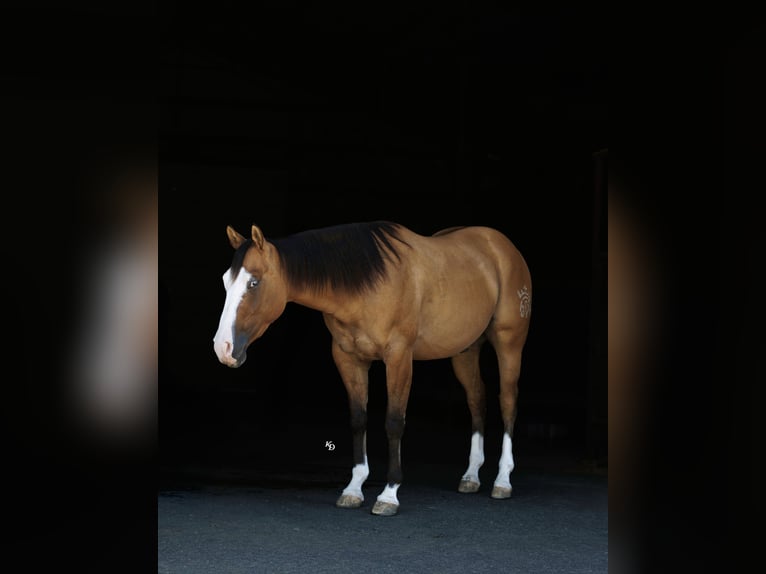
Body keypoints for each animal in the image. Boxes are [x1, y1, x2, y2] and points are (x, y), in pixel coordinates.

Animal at [213, 221, 532, 516]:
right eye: (227, 281)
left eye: (254, 283)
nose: (223, 348)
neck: (367, 285)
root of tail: (501, 245)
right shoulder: (348, 359)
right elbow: (358, 419)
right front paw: (354, 488)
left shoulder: (399, 358)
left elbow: (393, 422)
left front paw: (389, 494)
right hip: (465, 350)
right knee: (477, 400)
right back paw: (471, 475)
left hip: (509, 343)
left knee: (508, 402)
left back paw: (502, 480)